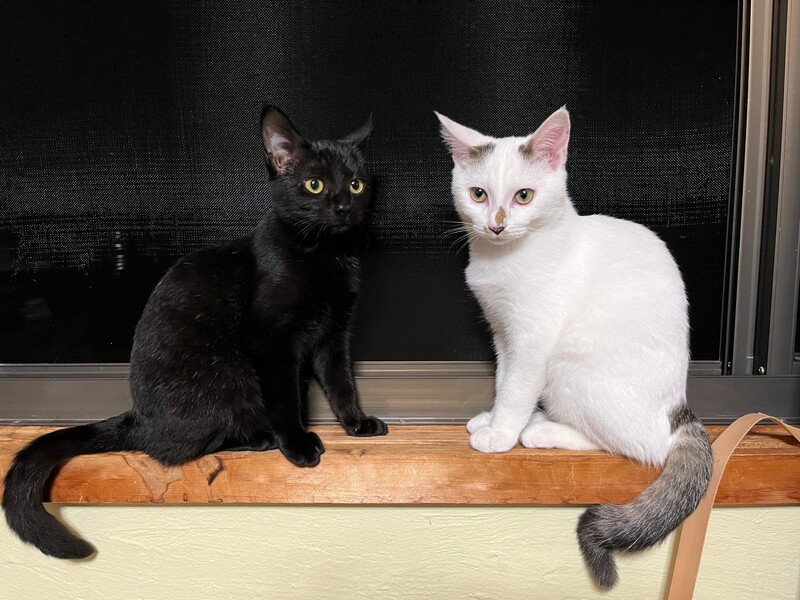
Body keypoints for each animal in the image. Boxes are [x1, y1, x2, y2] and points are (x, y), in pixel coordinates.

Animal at [2, 105, 388, 559]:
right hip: (232, 374)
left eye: (356, 184)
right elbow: (284, 398)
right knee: (180, 446)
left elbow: (342, 383)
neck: (325, 254)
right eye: (315, 185)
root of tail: (139, 417)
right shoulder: (272, 344)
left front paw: (357, 423)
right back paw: (261, 438)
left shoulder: (334, 335)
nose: (344, 206)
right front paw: (296, 443)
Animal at [435, 107, 712, 589]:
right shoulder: (503, 333)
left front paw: (501, 432)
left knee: (637, 446)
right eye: (478, 194)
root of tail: (678, 410)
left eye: (524, 196)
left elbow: (518, 388)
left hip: (568, 366)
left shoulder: (533, 338)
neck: (504, 260)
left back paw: (542, 430)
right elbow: (504, 380)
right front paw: (492, 417)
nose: (497, 224)